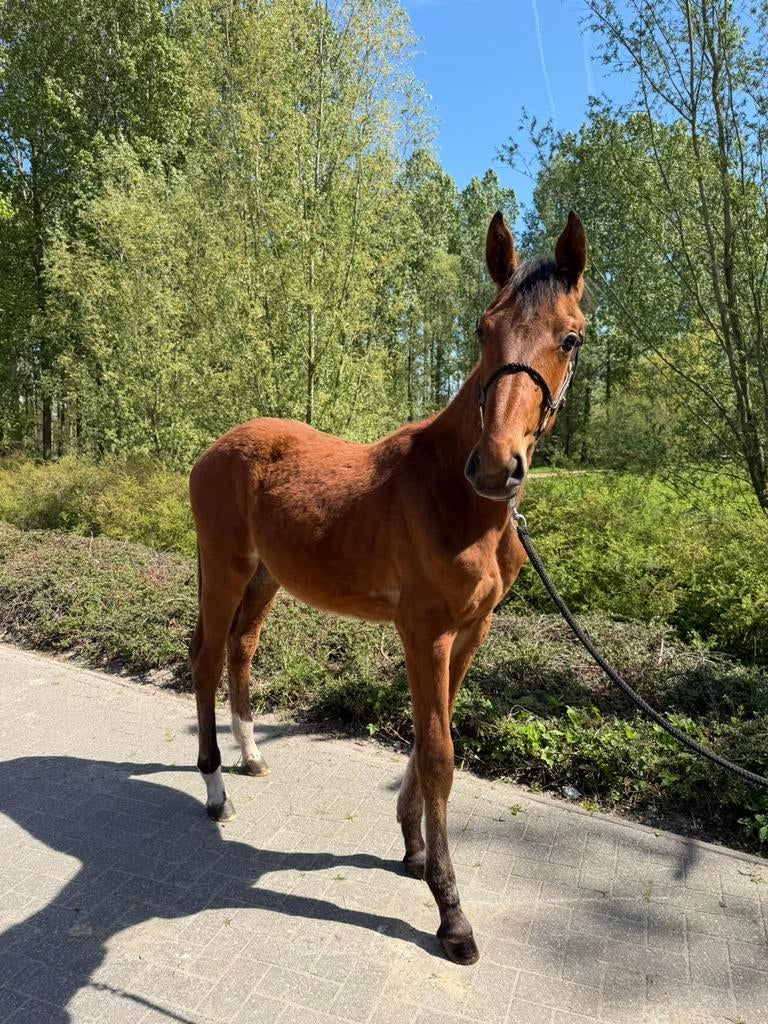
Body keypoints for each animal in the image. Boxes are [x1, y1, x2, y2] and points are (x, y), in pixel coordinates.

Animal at [188, 210, 587, 965]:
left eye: (571, 336)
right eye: (482, 329)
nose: (497, 467)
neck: (456, 498)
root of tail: (216, 446)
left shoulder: (470, 630)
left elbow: (437, 734)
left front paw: (412, 847)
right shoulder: (423, 630)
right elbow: (438, 755)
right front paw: (451, 911)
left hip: (265, 577)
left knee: (241, 647)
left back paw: (252, 757)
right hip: (222, 569)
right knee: (204, 657)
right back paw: (217, 791)